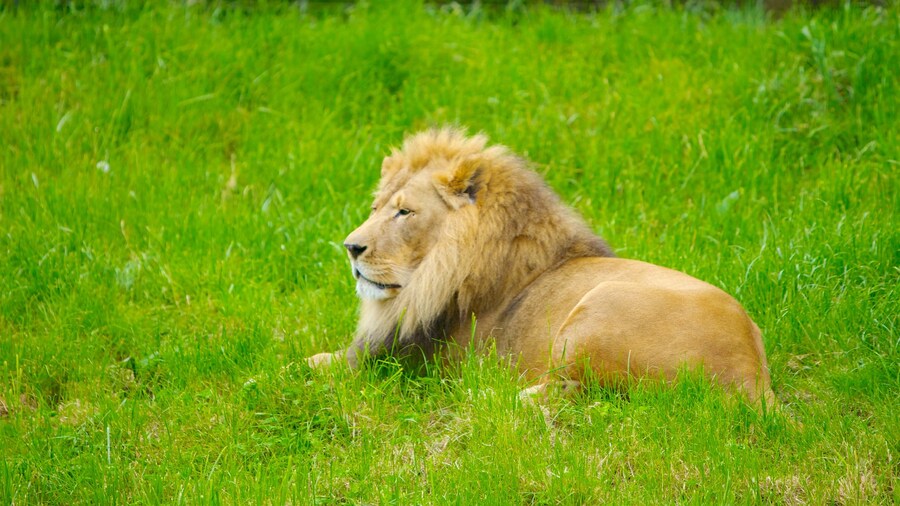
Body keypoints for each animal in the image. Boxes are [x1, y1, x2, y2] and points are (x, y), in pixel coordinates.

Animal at [307, 127, 773, 404]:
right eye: (376, 208)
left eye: (404, 212)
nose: (351, 247)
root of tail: (753, 376)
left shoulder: (402, 361)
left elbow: (315, 363)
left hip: (599, 309)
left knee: (579, 391)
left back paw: (493, 396)